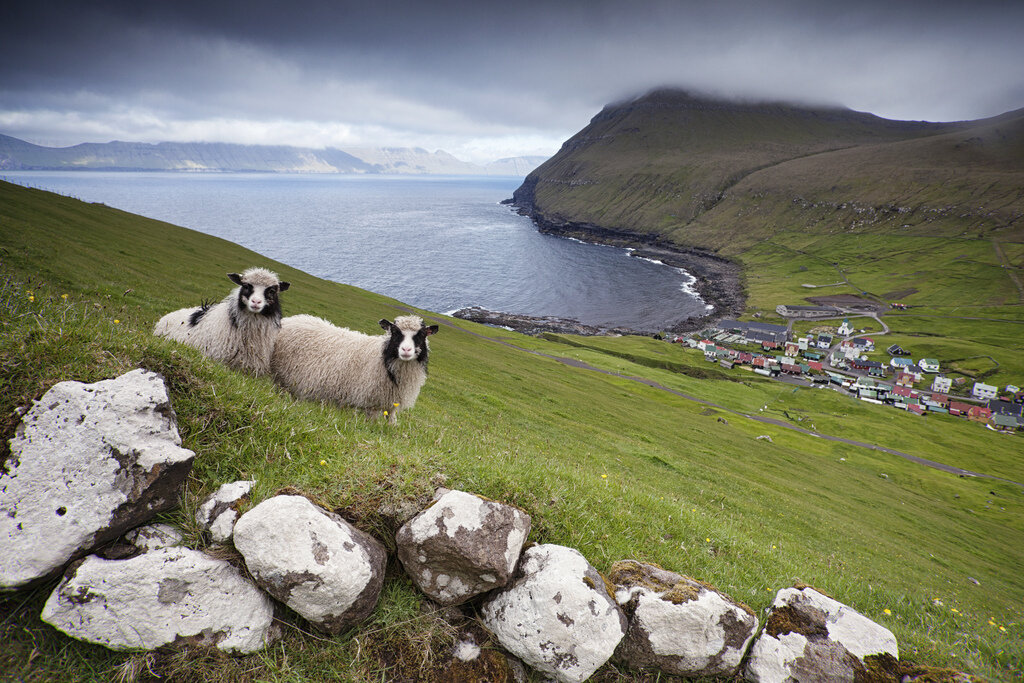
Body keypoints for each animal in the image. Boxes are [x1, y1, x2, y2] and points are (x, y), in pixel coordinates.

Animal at [270, 315, 438, 421]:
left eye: (422, 335)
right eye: (395, 332)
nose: (406, 350)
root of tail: (289, 320)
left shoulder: (391, 402)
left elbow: (391, 419)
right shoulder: (371, 403)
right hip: (279, 376)